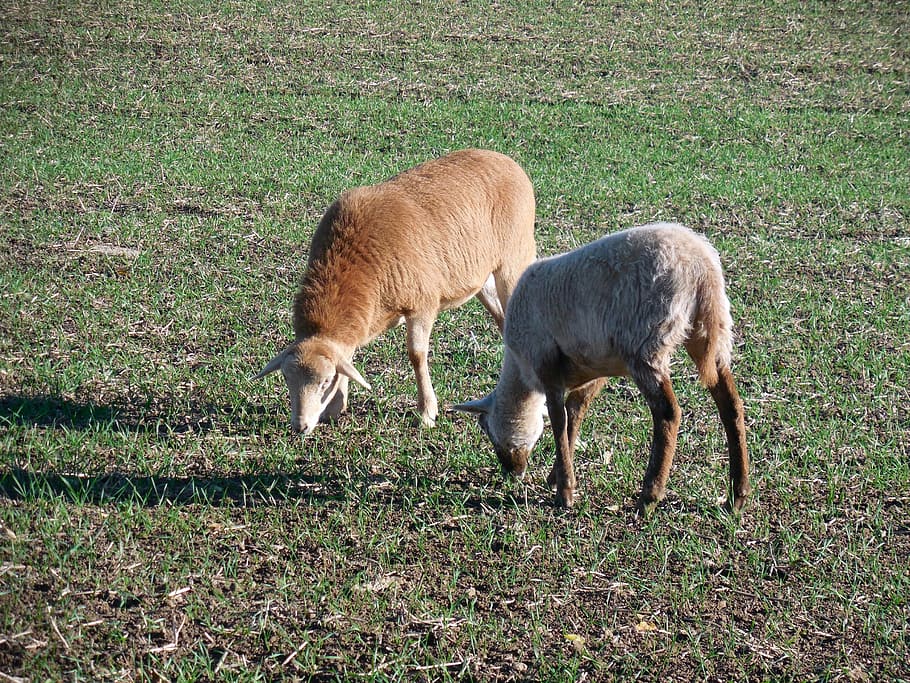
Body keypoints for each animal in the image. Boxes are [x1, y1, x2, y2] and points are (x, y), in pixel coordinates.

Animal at [255, 149, 537, 434]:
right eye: (287, 379)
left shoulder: (423, 303)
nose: (299, 426)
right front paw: (336, 408)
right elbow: (348, 357)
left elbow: (416, 355)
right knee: (503, 320)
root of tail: (505, 160)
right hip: (483, 277)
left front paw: (427, 412)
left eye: (324, 382)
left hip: (515, 259)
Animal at [455, 222, 750, 513]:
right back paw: (737, 494)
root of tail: (702, 268)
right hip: (711, 333)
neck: (520, 372)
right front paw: (557, 475)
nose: (512, 473)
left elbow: (559, 419)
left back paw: (649, 496)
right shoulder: (595, 367)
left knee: (668, 413)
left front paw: (564, 492)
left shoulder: (546, 362)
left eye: (487, 430)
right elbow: (574, 412)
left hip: (645, 342)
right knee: (731, 405)